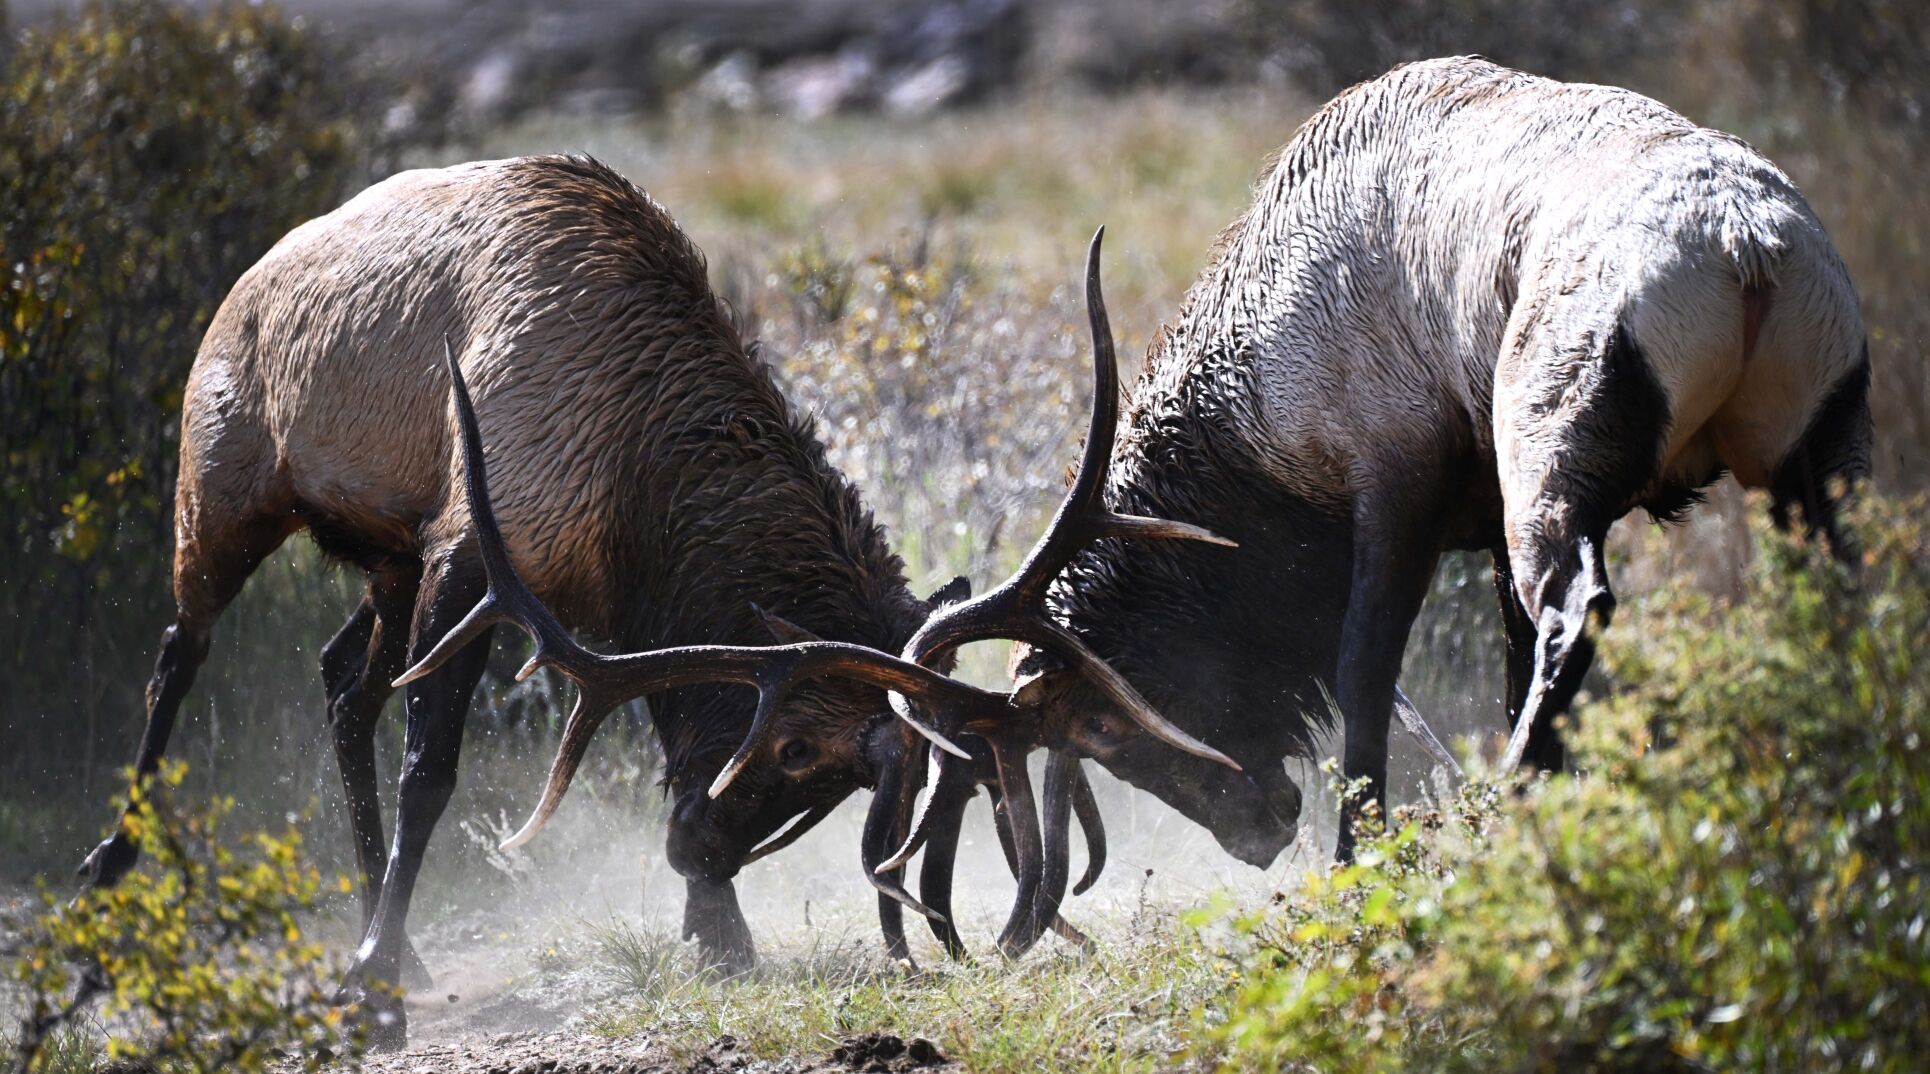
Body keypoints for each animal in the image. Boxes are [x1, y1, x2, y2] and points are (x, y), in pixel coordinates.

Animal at [74, 153, 1242, 1045]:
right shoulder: (475, 550)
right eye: (798, 749)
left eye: (828, 779)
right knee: (177, 654)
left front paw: (718, 931)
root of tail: (245, 278)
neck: (635, 487)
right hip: (222, 487)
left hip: (382, 559)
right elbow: (433, 771)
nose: (700, 852)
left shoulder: (587, 605)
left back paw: (388, 933)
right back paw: (103, 899)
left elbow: (659, 731)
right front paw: (371, 991)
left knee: (336, 682)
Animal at [868, 54, 1872, 923]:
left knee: (1579, 609)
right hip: (1818, 449)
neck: (1264, 418)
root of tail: (1748, 254)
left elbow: (1365, 666)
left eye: (1102, 730)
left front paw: (1359, 854)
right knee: (1836, 598)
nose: (1258, 831)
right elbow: (1497, 659)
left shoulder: (1395, 469)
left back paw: (1510, 812)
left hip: (1556, 431)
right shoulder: (1475, 508)